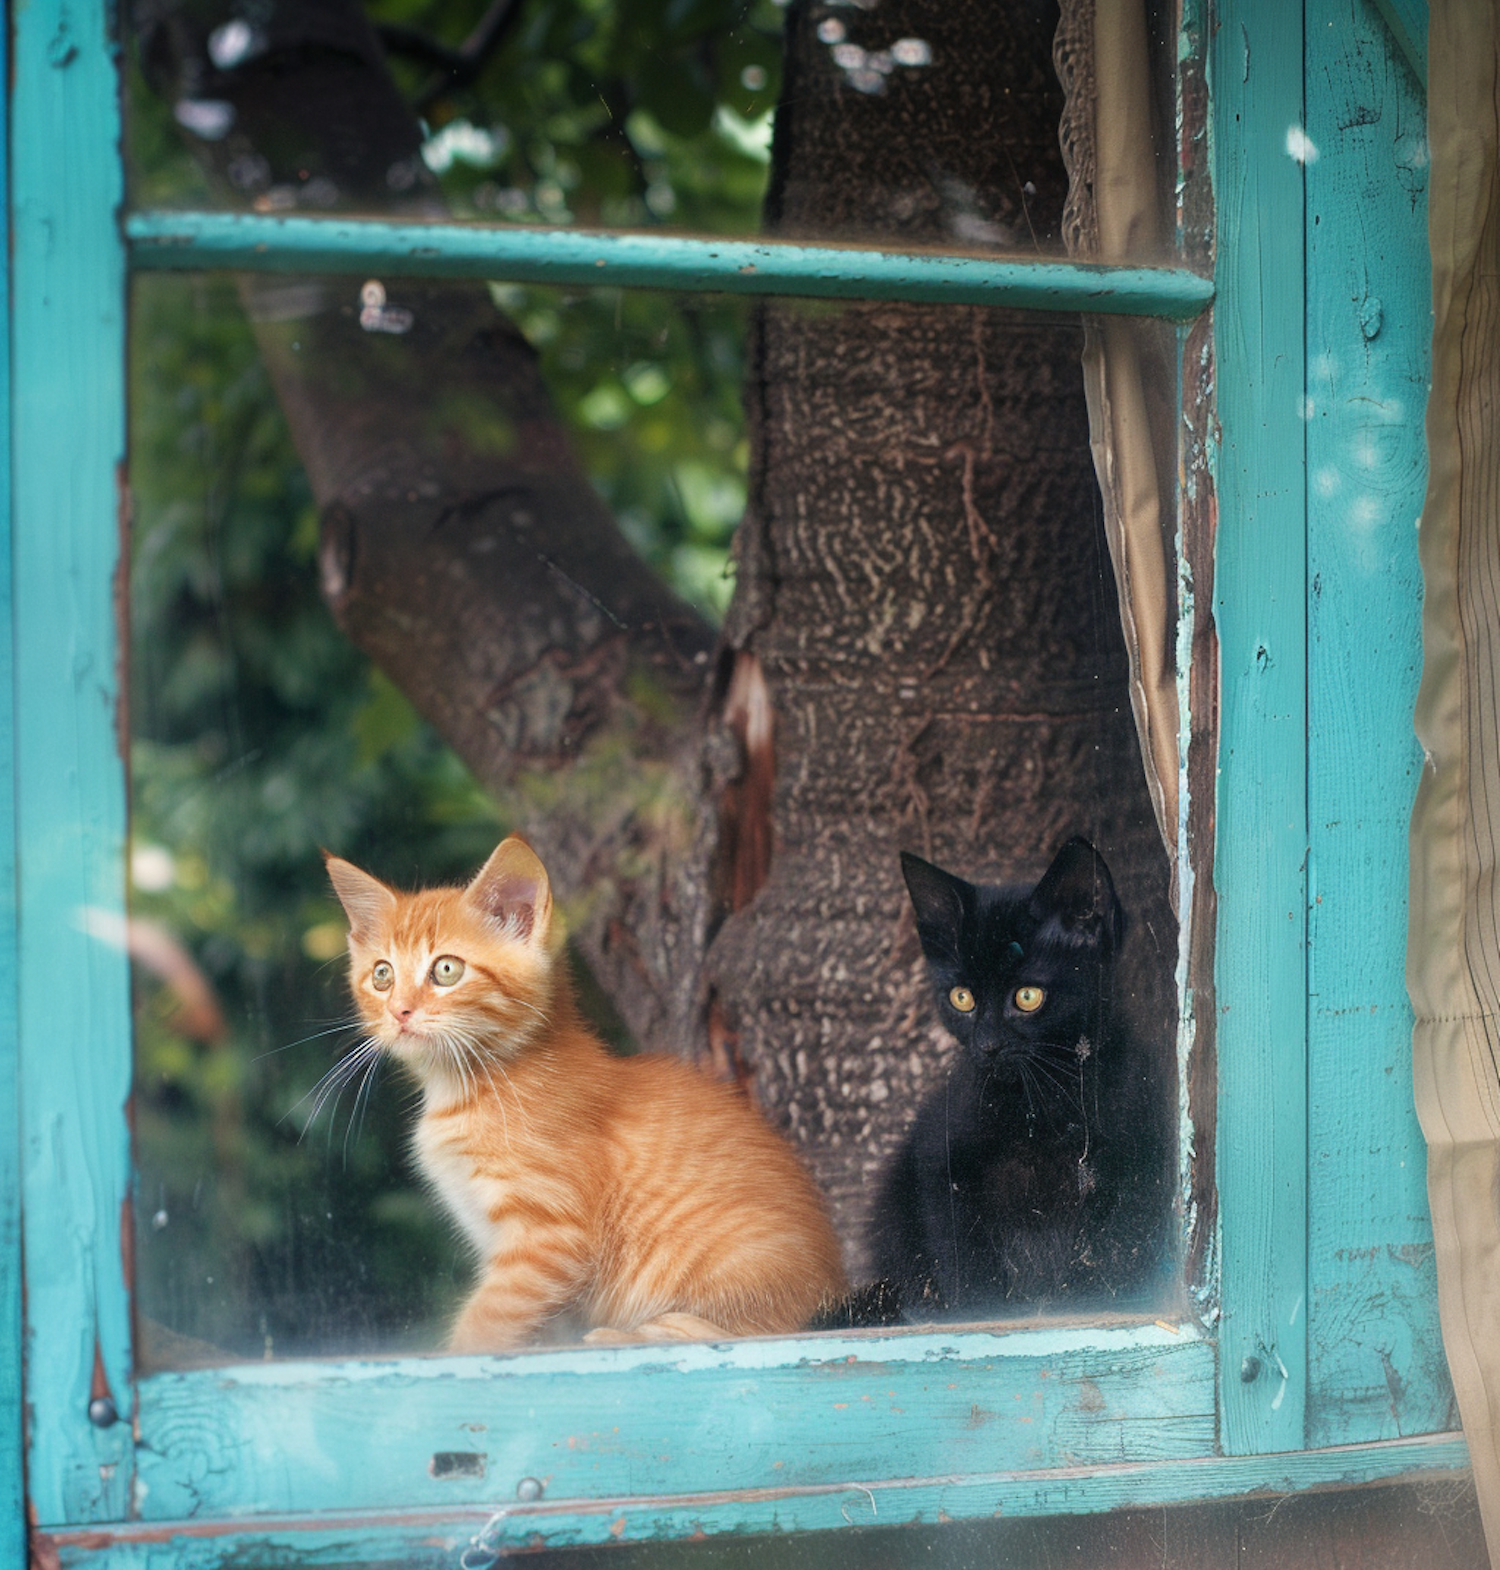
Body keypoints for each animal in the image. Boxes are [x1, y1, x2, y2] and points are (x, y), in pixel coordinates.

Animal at [328, 835, 848, 1350]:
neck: (471, 1084)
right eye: (382, 975)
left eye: (447, 970)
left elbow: (487, 1321)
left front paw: (460, 1358)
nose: (399, 1011)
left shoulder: (551, 1238)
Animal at [873, 841, 1168, 1318]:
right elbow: (968, 1267)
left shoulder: (1134, 1172)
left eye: (1027, 997)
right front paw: (984, 1314)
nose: (988, 1045)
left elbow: (1111, 1259)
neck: (1042, 1102)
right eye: (962, 998)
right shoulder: (941, 1164)